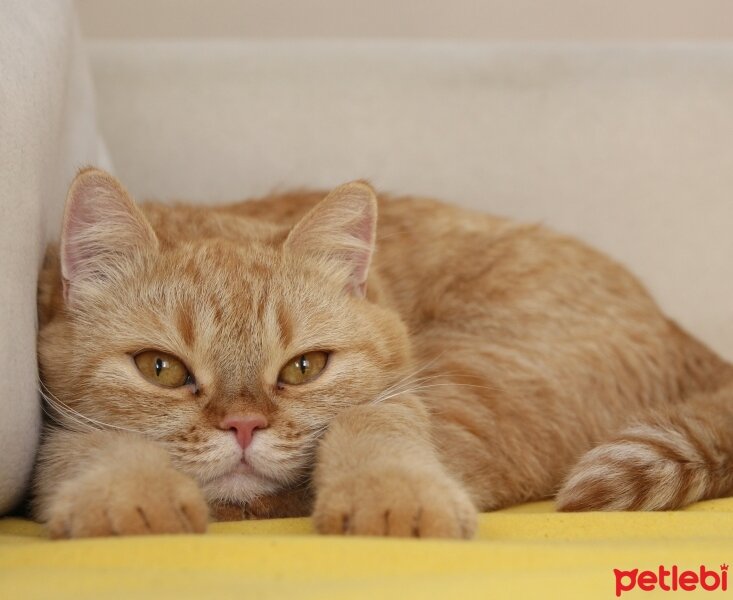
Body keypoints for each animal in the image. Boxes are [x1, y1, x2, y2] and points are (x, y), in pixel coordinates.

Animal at [34, 168, 732, 540]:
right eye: (162, 369)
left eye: (303, 368)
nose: (245, 426)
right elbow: (90, 445)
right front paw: (125, 499)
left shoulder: (399, 398)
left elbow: (375, 430)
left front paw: (390, 502)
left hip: (476, 375)